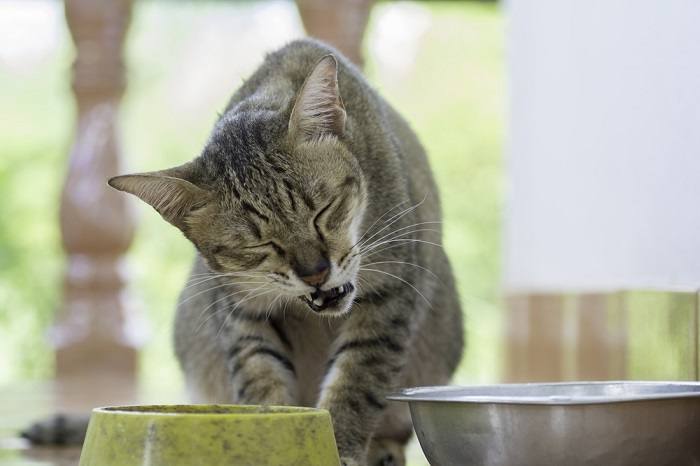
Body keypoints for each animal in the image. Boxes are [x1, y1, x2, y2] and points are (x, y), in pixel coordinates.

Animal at [23, 39, 464, 466]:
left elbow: (355, 382)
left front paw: (338, 446)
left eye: (324, 211)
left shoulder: (388, 294)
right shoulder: (244, 313)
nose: (316, 272)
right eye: (259, 245)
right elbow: (262, 381)